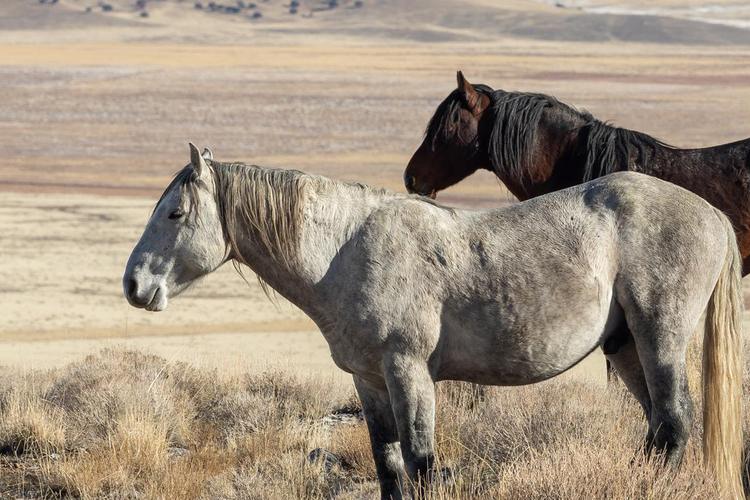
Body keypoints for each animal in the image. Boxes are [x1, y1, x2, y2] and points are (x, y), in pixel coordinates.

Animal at [124, 144, 743, 499]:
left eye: (175, 213)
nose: (133, 286)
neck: (346, 250)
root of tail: (713, 214)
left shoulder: (409, 373)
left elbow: (421, 463)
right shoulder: (370, 382)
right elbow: (390, 468)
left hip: (659, 338)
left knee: (675, 425)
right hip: (626, 346)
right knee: (659, 430)